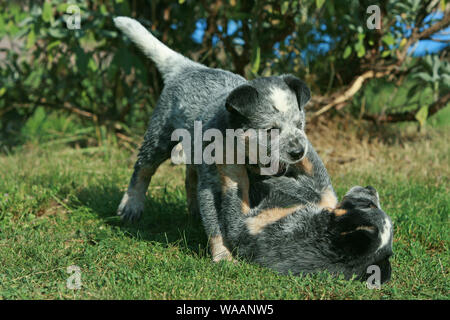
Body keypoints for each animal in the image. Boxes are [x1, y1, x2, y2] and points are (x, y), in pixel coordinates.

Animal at [114, 15, 328, 262]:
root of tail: (190, 67)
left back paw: (193, 212)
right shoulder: (213, 183)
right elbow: (216, 222)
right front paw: (224, 257)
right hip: (160, 133)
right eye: (270, 130)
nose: (298, 152)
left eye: (299, 124)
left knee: (190, 177)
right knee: (143, 167)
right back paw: (131, 206)